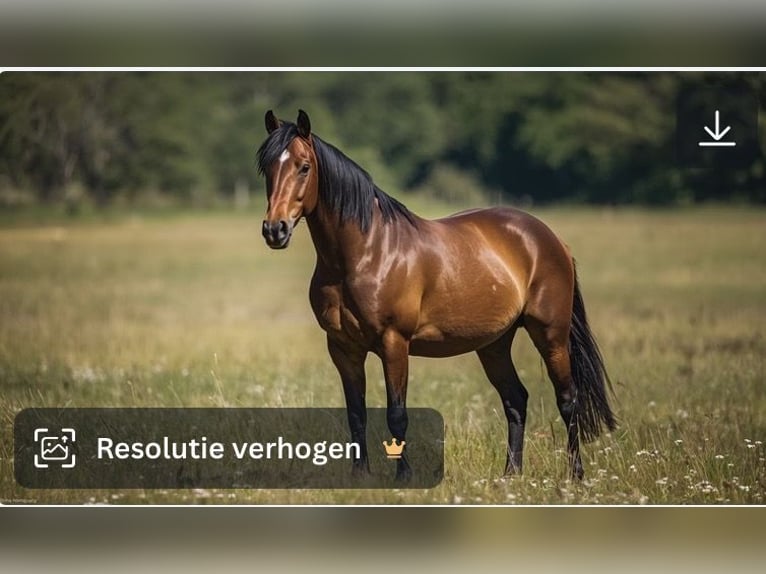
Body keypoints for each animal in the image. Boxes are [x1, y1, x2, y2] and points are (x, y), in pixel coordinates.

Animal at [257, 109, 616, 482]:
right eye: (267, 167)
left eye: (304, 167)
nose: (275, 229)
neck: (365, 253)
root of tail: (550, 238)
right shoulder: (343, 348)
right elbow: (357, 414)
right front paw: (359, 477)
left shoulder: (394, 343)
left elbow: (396, 414)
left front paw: (403, 477)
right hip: (494, 344)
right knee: (515, 399)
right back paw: (510, 475)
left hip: (550, 334)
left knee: (567, 399)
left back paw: (576, 475)